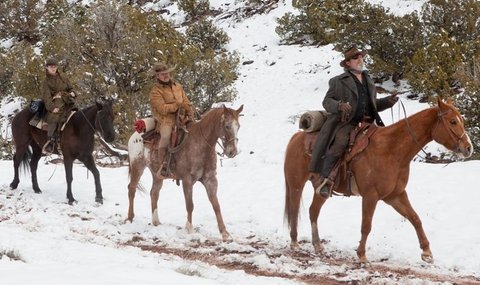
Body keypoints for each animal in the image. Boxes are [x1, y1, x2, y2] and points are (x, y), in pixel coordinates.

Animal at [126, 104, 244, 240]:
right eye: (227, 126)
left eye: (238, 126)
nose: (232, 152)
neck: (200, 144)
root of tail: (135, 135)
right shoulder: (187, 180)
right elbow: (190, 205)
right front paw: (190, 229)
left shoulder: (210, 180)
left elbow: (216, 205)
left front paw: (224, 232)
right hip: (138, 165)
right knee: (132, 188)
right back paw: (130, 218)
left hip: (157, 174)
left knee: (154, 192)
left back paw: (156, 222)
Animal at [284, 98, 474, 262]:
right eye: (452, 121)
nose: (468, 148)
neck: (391, 149)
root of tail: (296, 137)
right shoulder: (370, 196)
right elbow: (366, 225)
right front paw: (361, 255)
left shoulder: (395, 195)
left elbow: (415, 218)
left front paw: (427, 252)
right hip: (296, 184)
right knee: (294, 209)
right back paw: (294, 243)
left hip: (321, 190)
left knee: (313, 211)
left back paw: (317, 246)